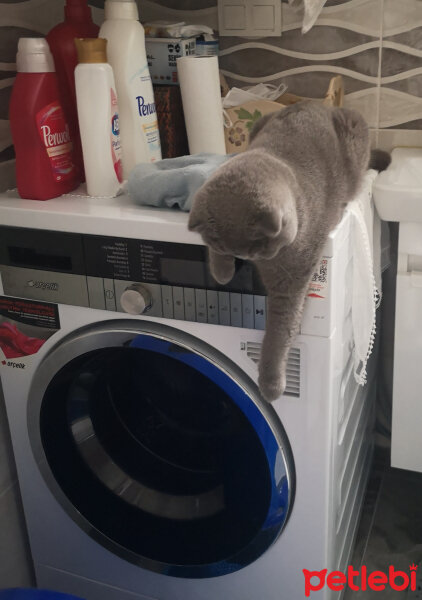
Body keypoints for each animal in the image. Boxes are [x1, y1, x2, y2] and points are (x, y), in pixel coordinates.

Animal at [190, 102, 374, 404]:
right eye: (225, 247)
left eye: (257, 247)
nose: (244, 258)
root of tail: (321, 105)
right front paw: (222, 271)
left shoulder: (292, 278)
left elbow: (278, 333)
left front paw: (271, 386)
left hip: (356, 131)